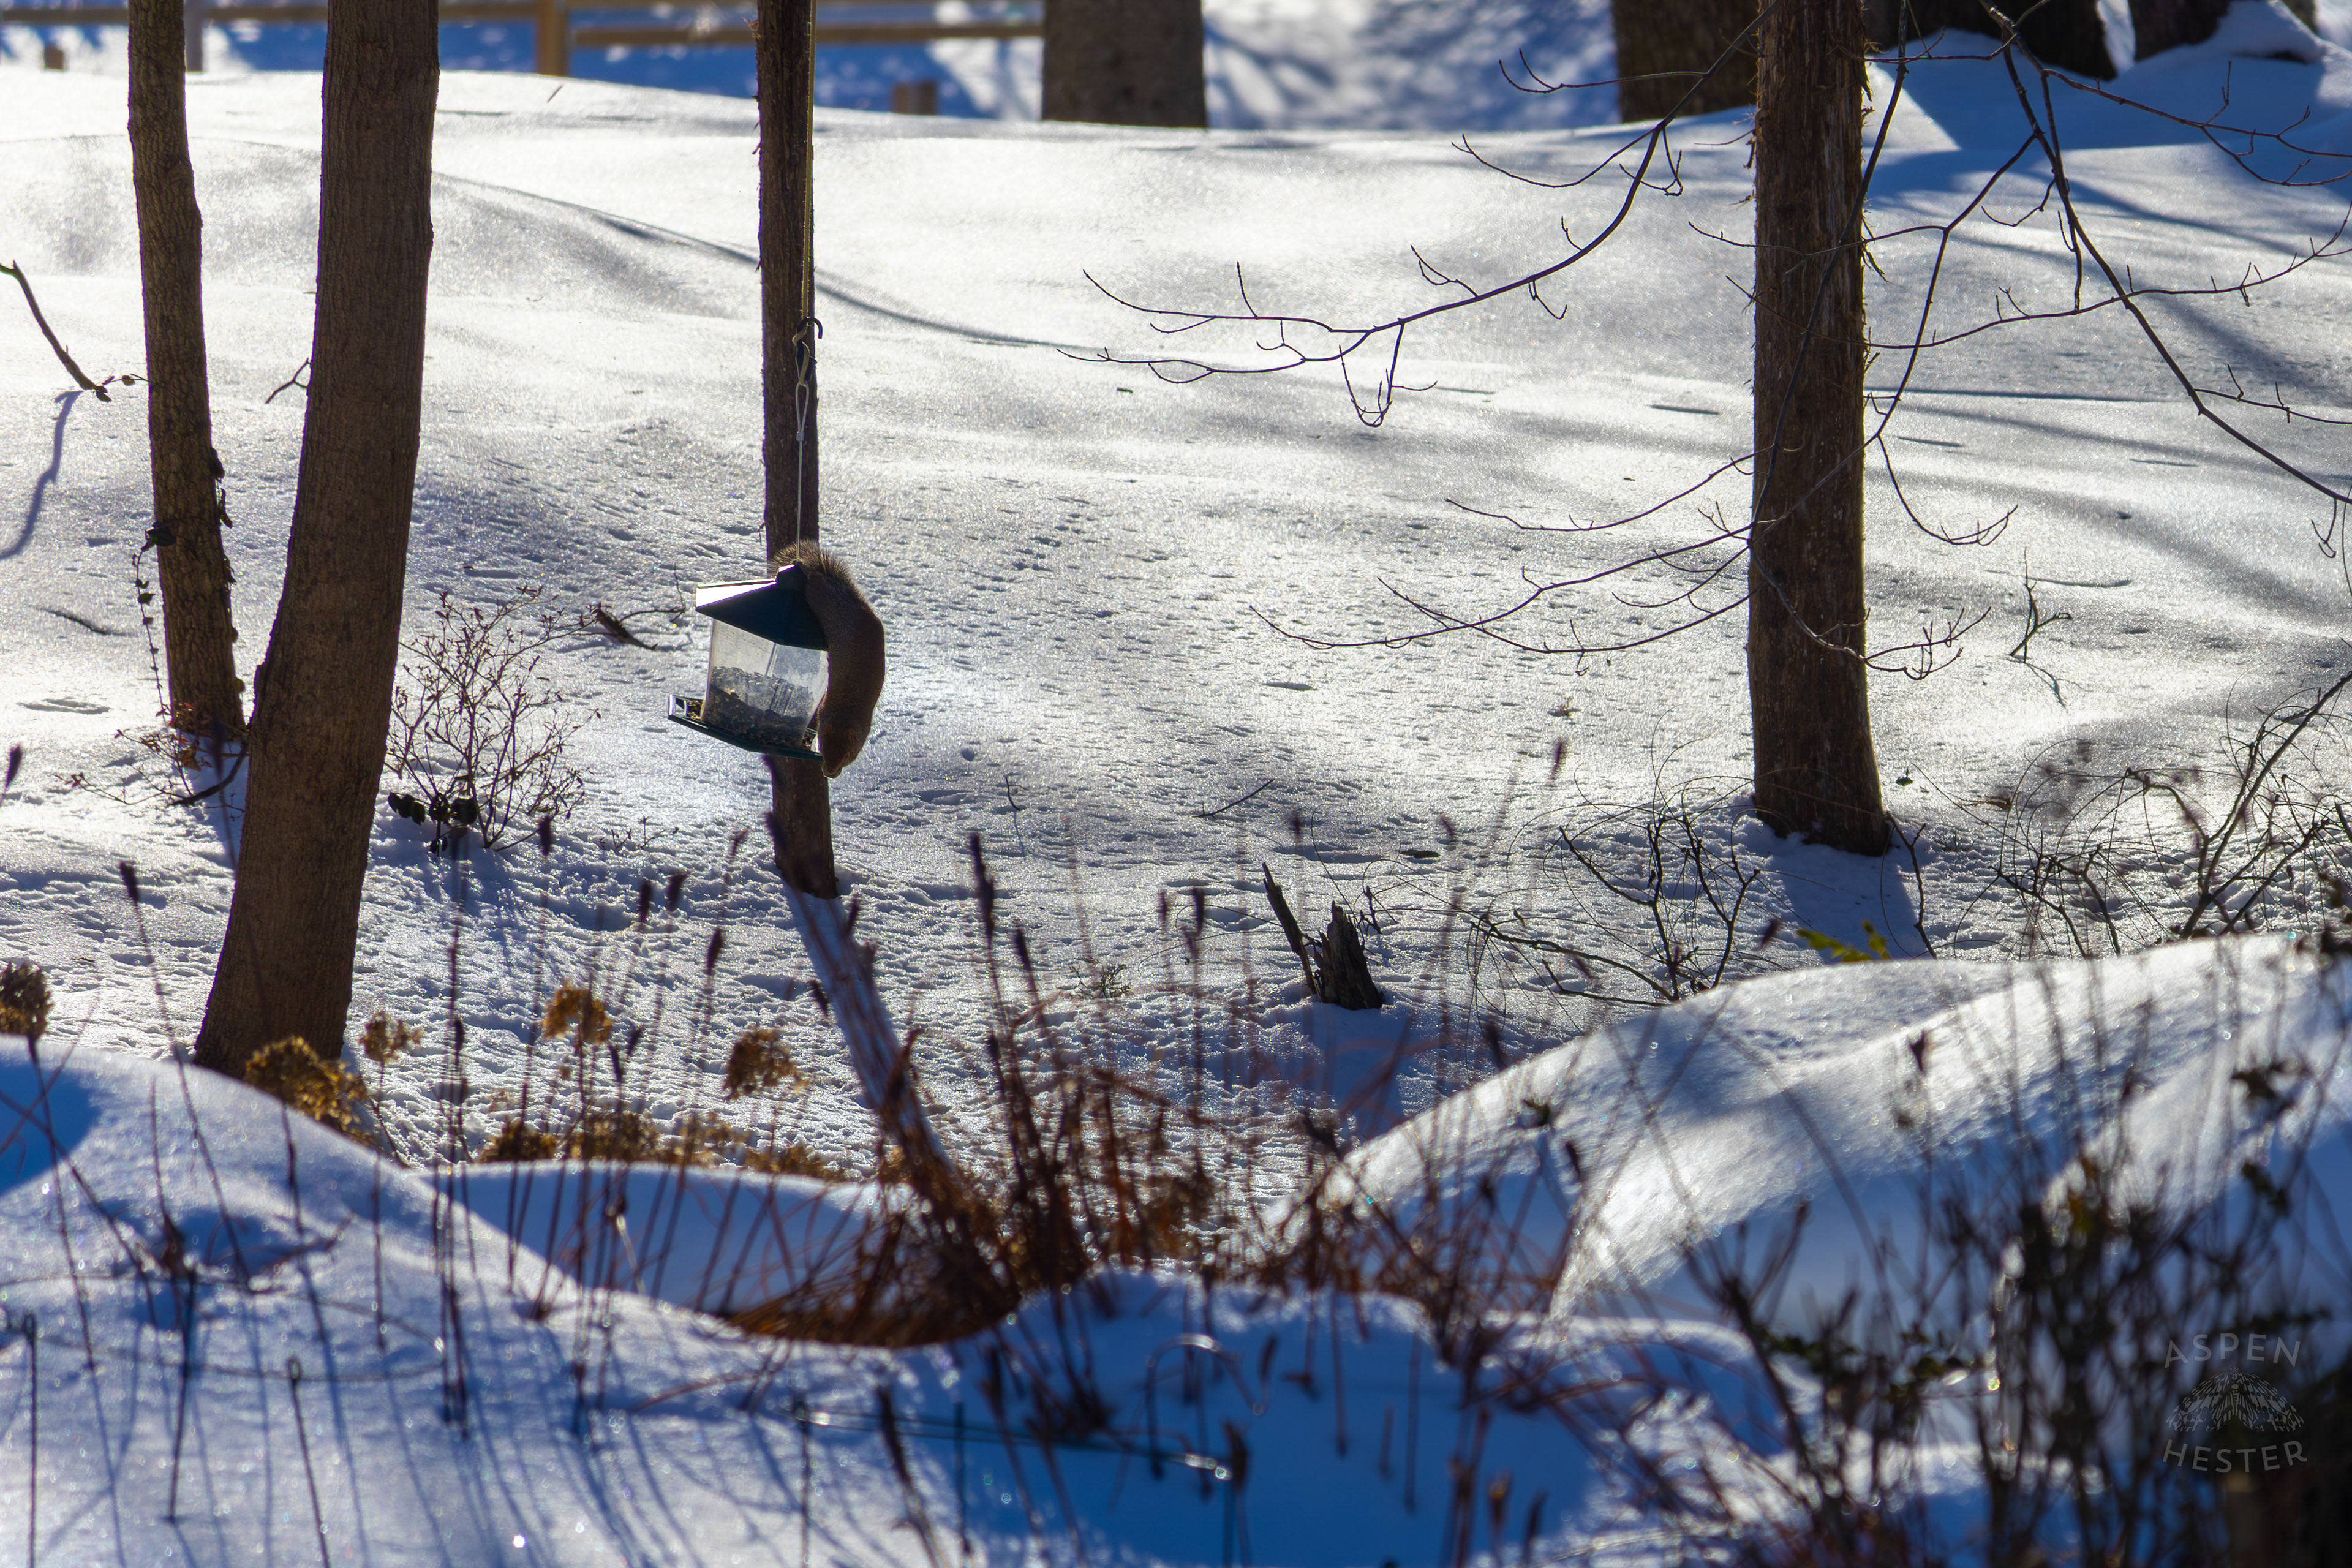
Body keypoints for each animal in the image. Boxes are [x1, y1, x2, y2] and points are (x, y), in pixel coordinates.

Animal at [769, 540, 885, 779]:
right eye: (823, 746)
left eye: (849, 755)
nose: (830, 774)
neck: (845, 714)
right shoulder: (825, 709)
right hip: (819, 597)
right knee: (814, 582)